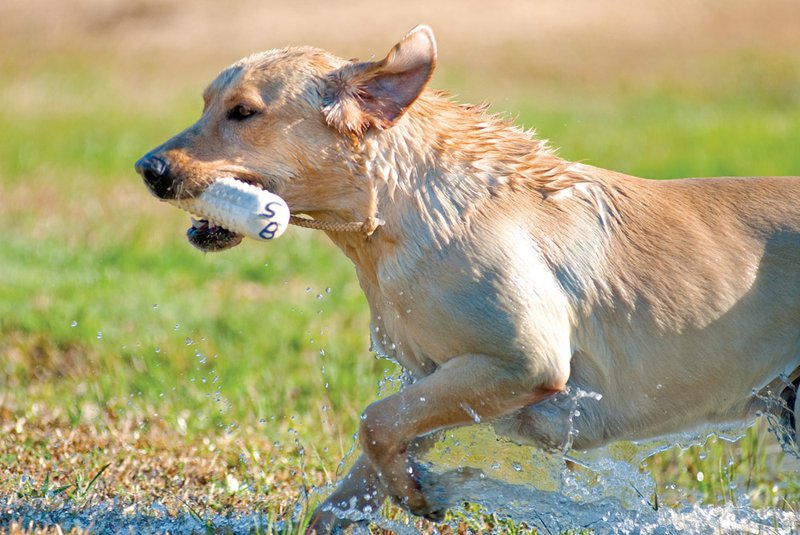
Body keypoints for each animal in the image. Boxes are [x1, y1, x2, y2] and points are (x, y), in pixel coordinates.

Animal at [138, 24, 800, 532]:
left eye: (244, 112)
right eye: (205, 104)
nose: (148, 168)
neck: (396, 220)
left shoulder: (524, 362)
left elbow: (373, 419)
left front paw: (423, 495)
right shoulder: (436, 378)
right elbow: (366, 464)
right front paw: (398, 492)